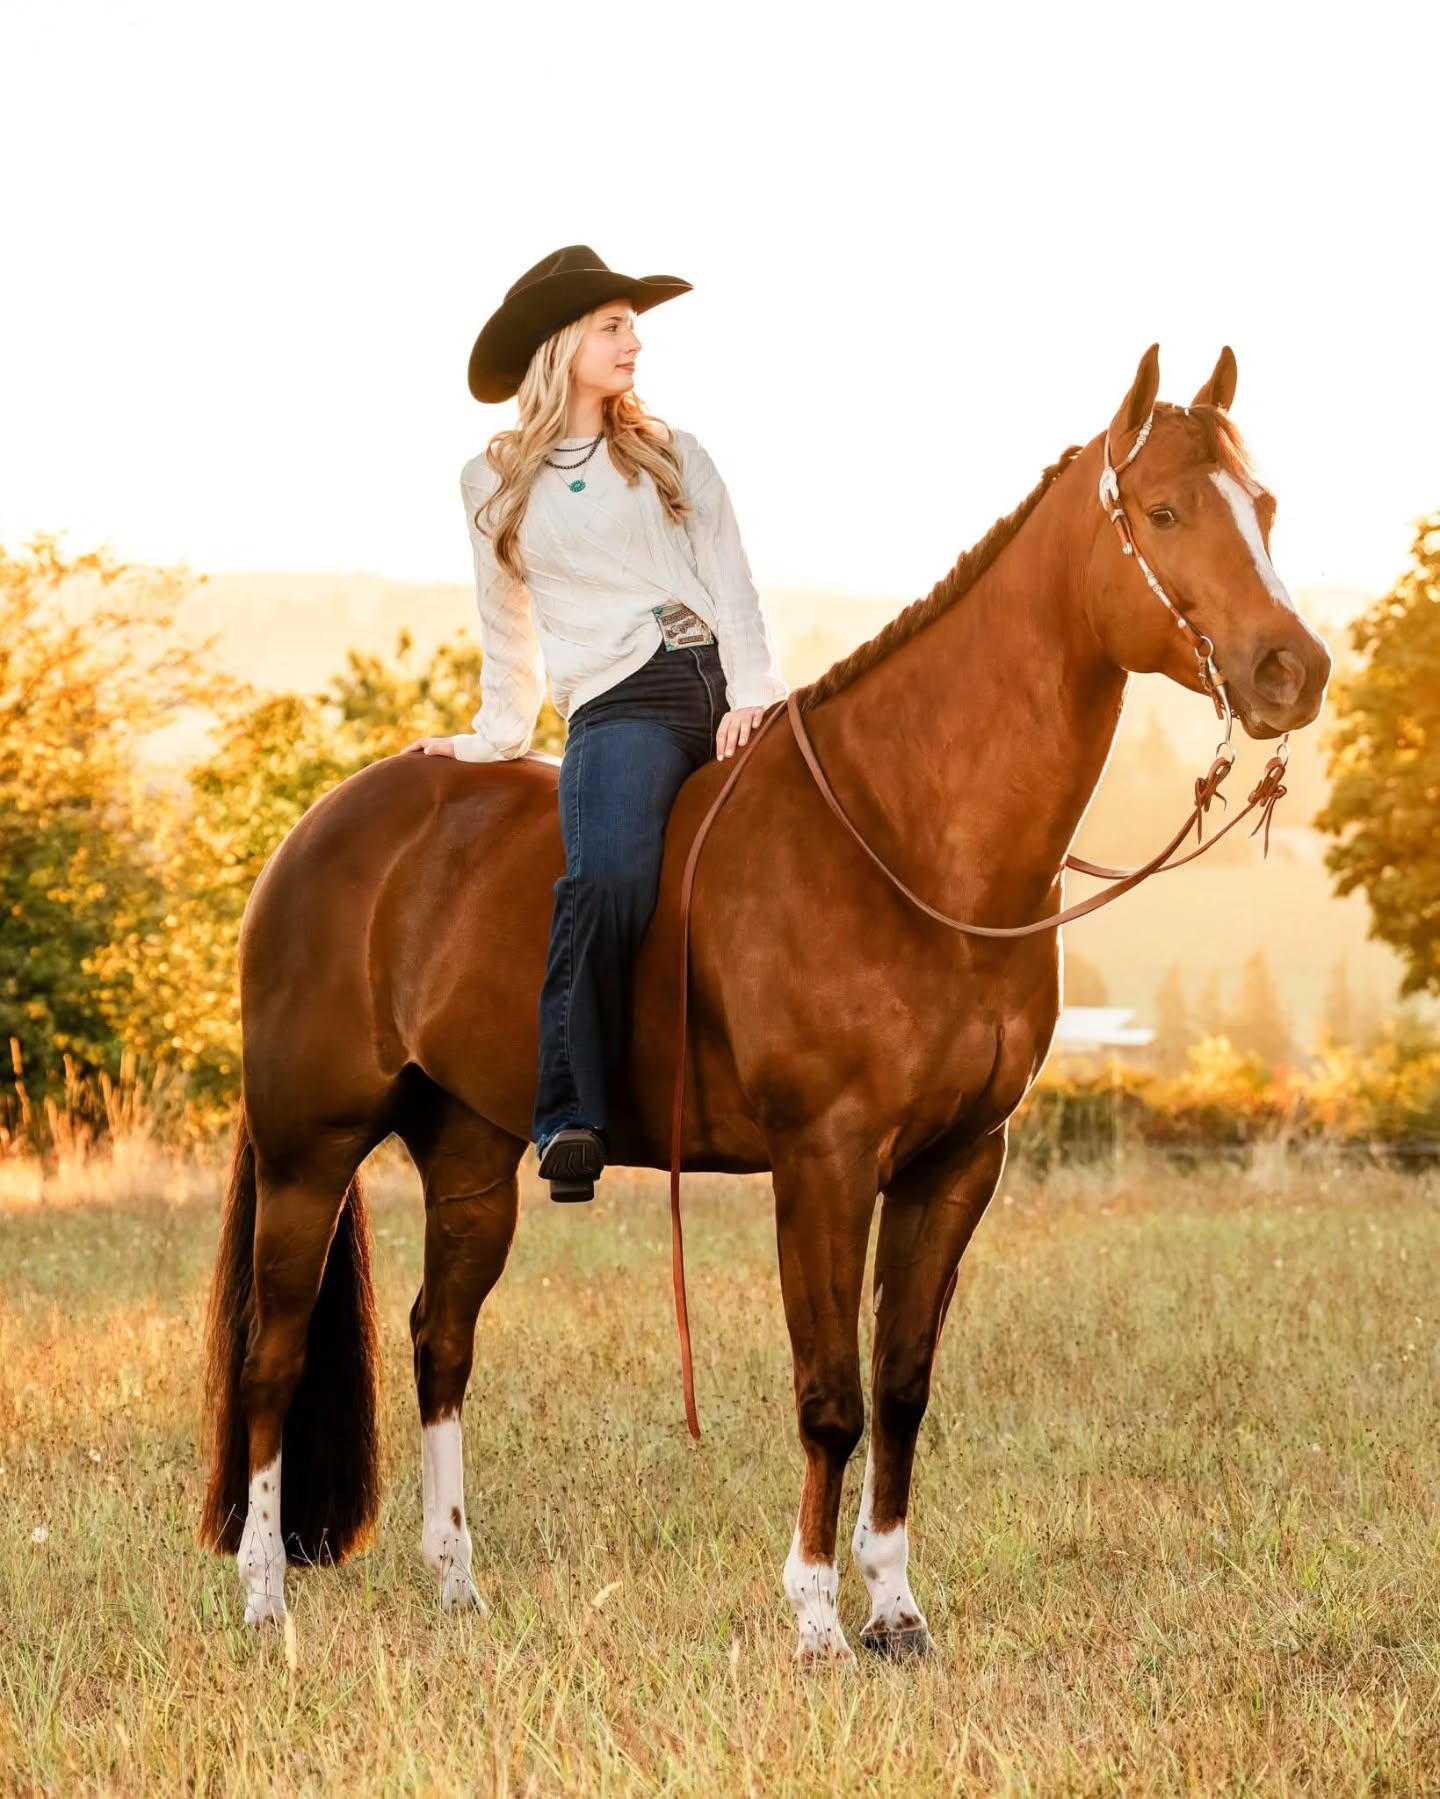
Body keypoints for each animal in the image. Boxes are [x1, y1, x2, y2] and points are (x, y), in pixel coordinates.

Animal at [199, 343, 1331, 1660]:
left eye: (1265, 505)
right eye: (1161, 512)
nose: (1293, 670)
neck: (906, 840)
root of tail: (320, 833)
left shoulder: (956, 1164)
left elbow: (902, 1386)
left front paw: (897, 1610)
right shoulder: (826, 1160)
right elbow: (830, 1394)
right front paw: (818, 1619)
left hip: (471, 1154)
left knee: (441, 1337)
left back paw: (457, 1585)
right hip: (311, 1149)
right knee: (273, 1355)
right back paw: (264, 1597)